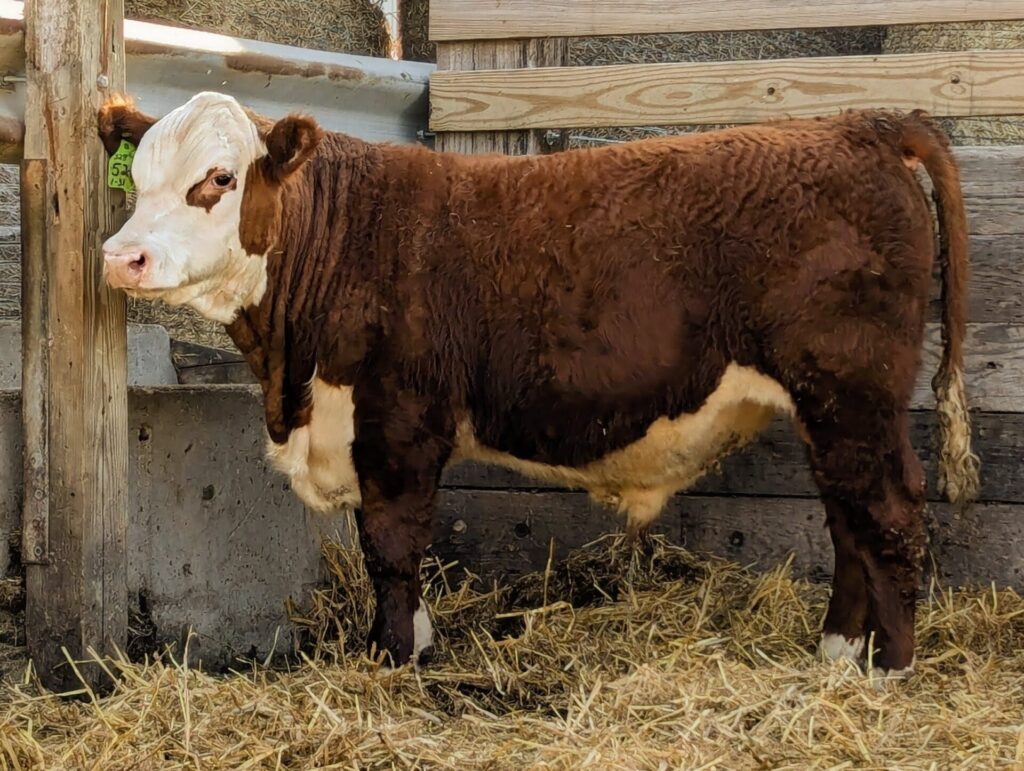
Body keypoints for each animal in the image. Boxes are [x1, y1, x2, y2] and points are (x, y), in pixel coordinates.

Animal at [98, 91, 979, 677]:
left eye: (218, 178)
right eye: (135, 182)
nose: (120, 257)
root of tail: (862, 125)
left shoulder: (399, 421)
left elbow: (391, 543)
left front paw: (394, 657)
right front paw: (405, 645)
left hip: (853, 394)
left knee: (889, 514)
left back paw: (888, 668)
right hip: (832, 410)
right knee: (849, 520)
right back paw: (836, 652)